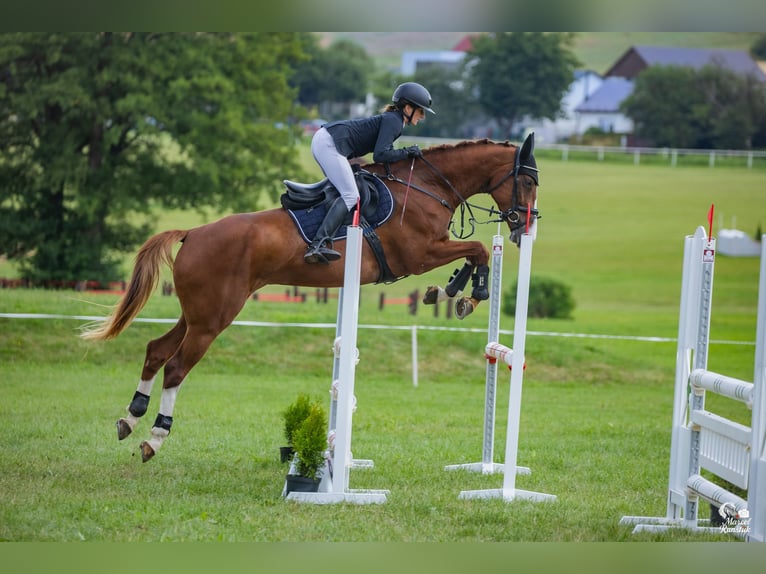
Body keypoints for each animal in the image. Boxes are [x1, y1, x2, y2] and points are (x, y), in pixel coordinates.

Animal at [80, 133, 540, 462]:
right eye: (527, 180)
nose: (525, 226)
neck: (426, 186)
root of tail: (192, 233)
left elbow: (474, 251)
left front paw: (450, 293)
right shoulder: (419, 254)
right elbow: (478, 249)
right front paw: (466, 293)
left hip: (197, 312)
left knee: (156, 350)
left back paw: (129, 419)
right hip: (214, 318)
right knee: (176, 366)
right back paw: (155, 438)